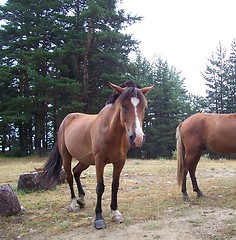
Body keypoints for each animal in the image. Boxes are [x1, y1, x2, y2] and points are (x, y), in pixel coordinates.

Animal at [40, 82, 153, 229]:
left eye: (143, 107)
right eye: (123, 105)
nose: (137, 138)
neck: (111, 132)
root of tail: (66, 120)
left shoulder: (120, 162)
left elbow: (115, 186)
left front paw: (115, 213)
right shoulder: (100, 161)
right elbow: (100, 187)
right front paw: (99, 218)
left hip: (85, 160)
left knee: (76, 172)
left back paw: (81, 199)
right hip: (66, 156)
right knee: (70, 177)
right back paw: (73, 204)